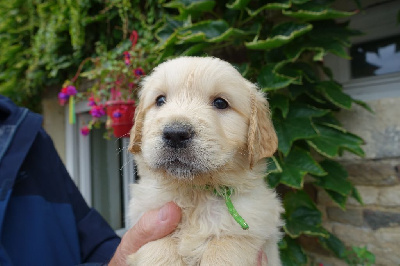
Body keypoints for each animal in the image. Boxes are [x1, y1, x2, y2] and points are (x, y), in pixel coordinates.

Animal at [127, 57, 282, 264]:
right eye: (160, 100)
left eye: (220, 103)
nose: (175, 133)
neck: (196, 195)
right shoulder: (148, 218)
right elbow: (159, 246)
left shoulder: (248, 230)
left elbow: (225, 248)